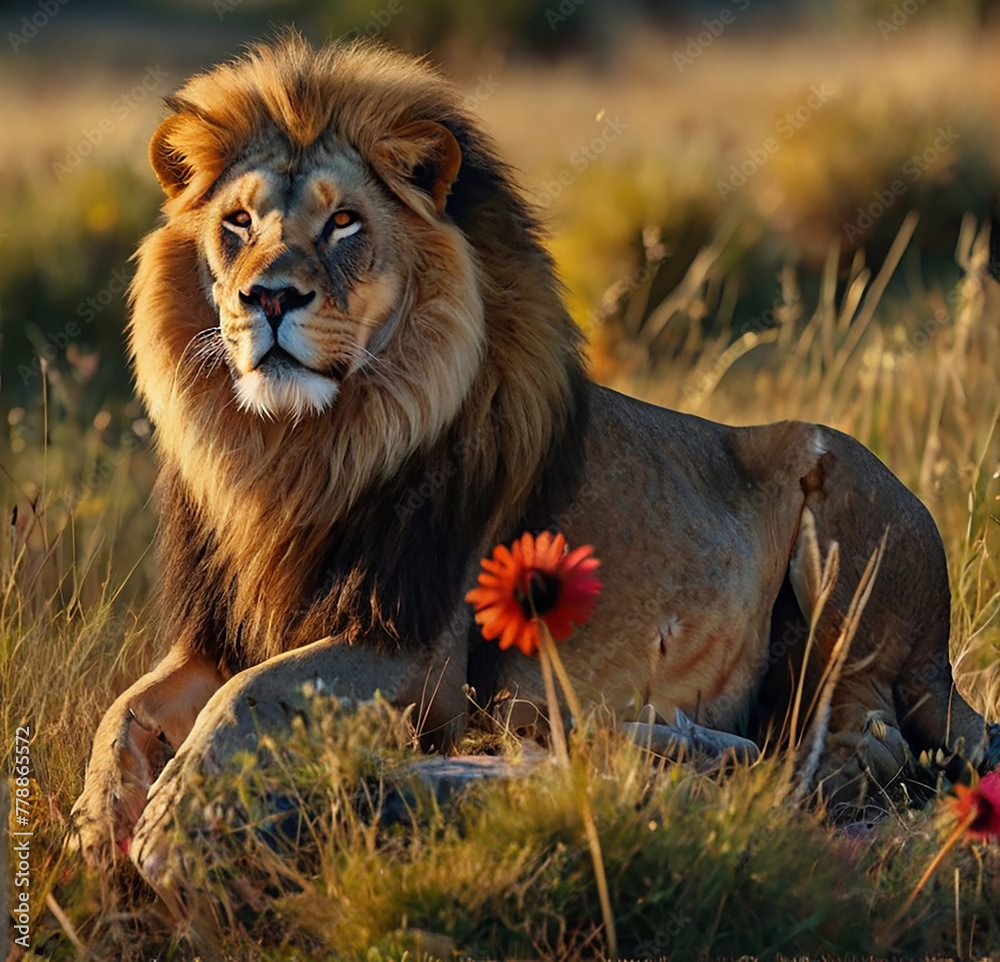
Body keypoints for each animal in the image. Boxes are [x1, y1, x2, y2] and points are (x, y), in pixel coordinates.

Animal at [72, 33, 987, 875]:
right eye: (238, 224)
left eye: (343, 222)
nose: (267, 297)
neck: (293, 453)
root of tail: (939, 656)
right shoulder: (214, 638)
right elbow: (123, 711)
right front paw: (92, 825)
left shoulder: (415, 652)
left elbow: (249, 695)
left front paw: (169, 821)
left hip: (838, 503)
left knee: (869, 743)